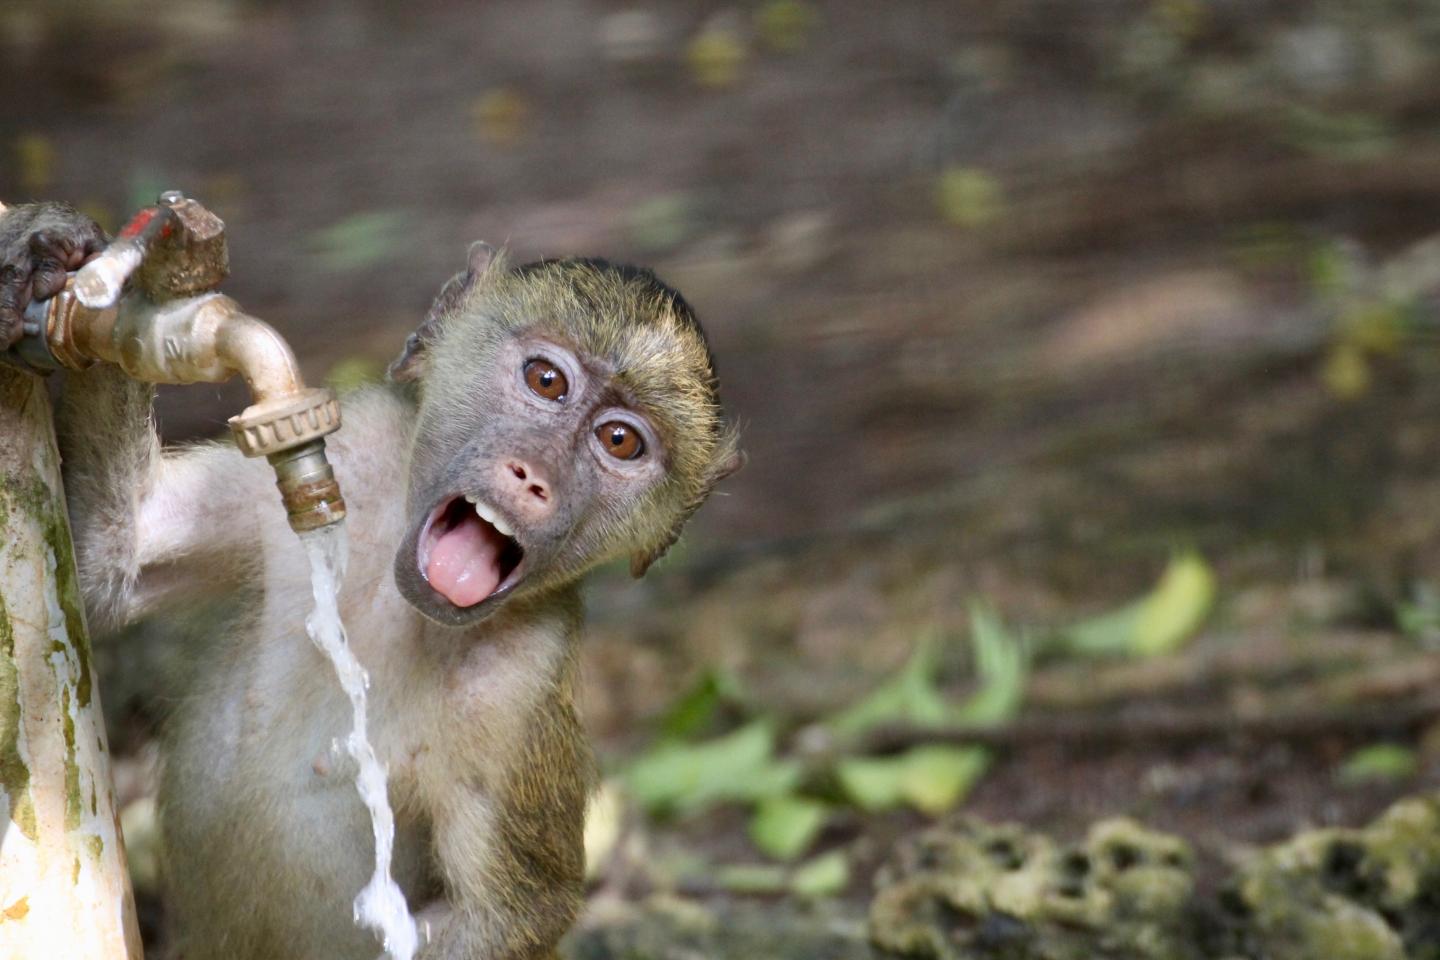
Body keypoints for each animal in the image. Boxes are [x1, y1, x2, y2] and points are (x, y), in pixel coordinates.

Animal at [1, 202, 741, 960]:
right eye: (546, 381)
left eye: (621, 442)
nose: (533, 478)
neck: (397, 597)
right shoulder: (358, 445)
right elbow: (111, 560)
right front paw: (54, 260)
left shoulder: (518, 688)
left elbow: (505, 916)